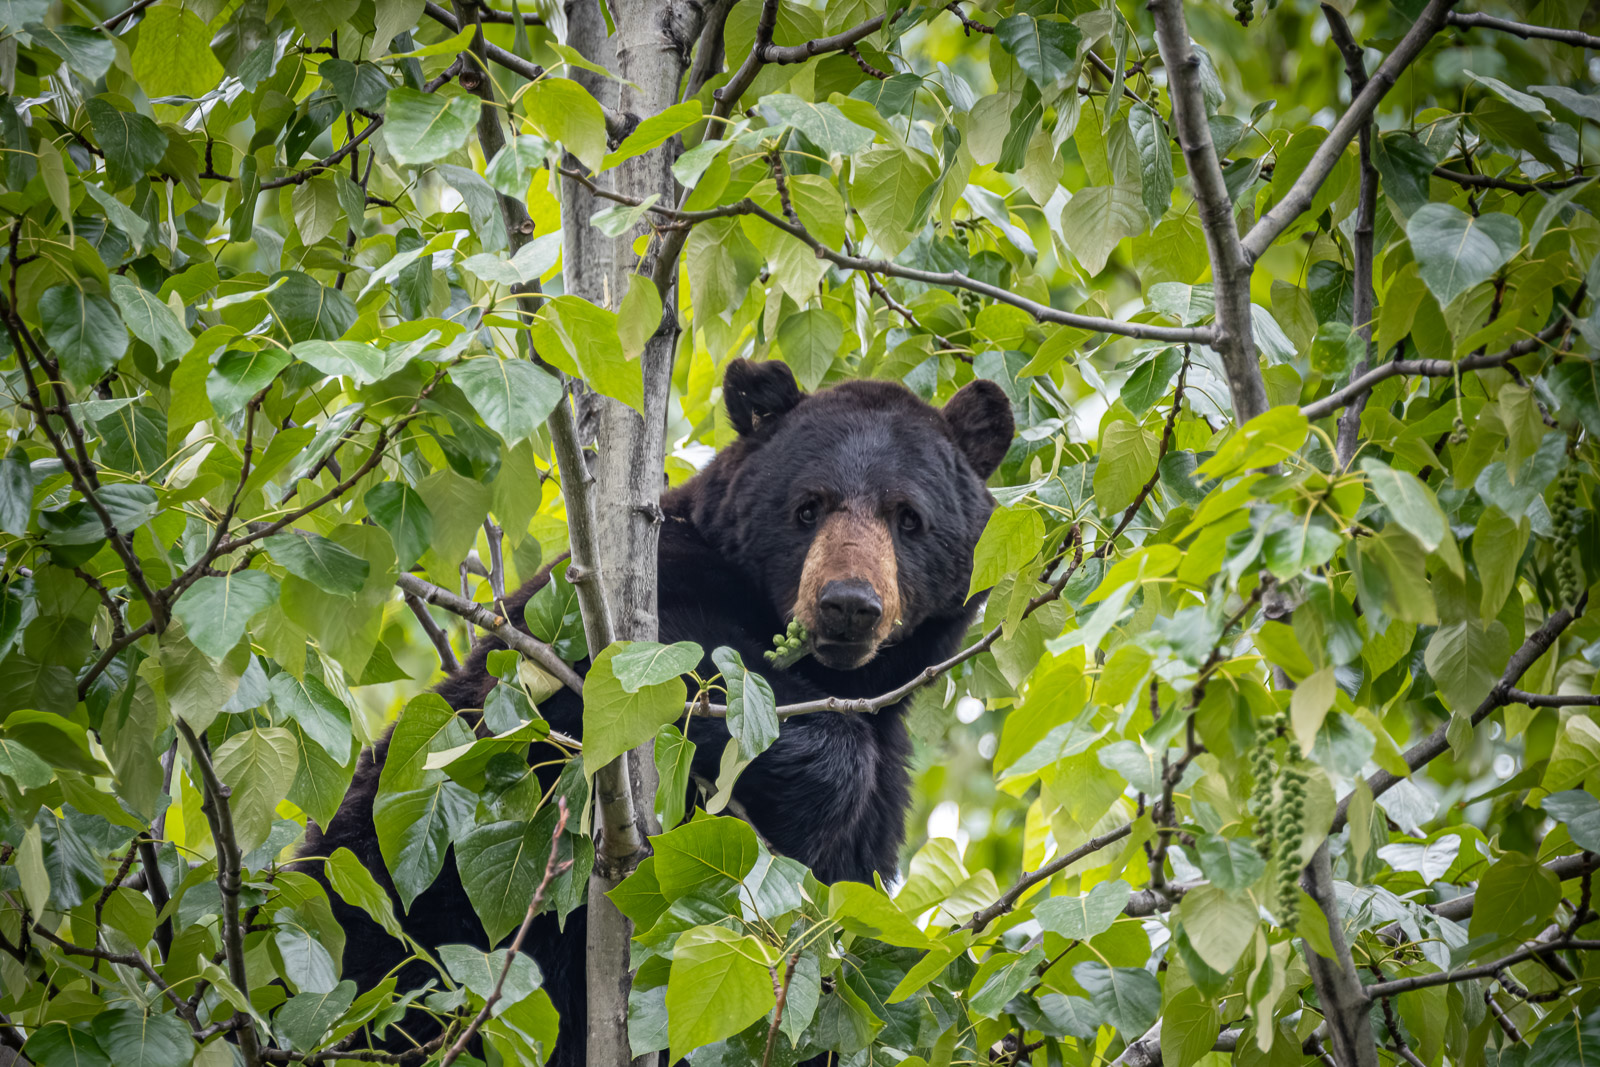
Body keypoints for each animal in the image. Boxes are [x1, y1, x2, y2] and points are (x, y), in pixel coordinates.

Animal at [302, 360, 1015, 1065]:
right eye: (807, 507)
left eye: (908, 518)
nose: (847, 604)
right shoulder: (615, 605)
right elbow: (674, 673)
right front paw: (812, 774)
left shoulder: (876, 818)